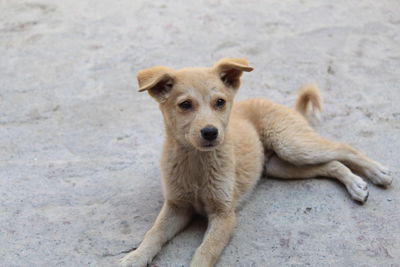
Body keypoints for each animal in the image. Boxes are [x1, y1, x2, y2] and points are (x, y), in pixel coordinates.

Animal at [119, 58, 394, 267]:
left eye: (220, 102)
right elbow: (153, 233)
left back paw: (377, 172)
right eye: (185, 105)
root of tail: (287, 107)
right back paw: (356, 184)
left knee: (343, 148)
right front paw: (134, 258)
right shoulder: (176, 206)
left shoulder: (224, 215)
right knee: (331, 164)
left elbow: (205, 251)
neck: (197, 161)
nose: (210, 133)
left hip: (293, 145)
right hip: (279, 166)